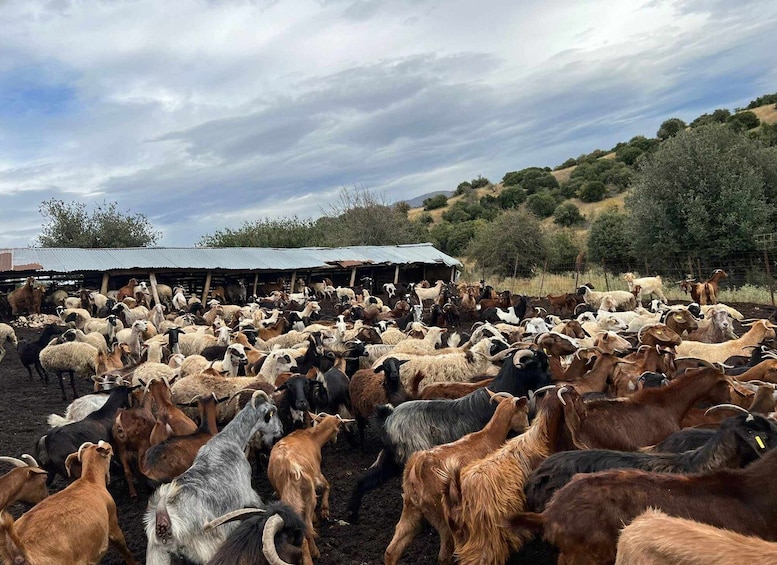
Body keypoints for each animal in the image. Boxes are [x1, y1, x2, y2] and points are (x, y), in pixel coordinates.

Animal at [346, 348, 552, 520]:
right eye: (538, 364)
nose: (550, 381)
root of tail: (387, 419)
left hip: (390, 459)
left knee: (363, 480)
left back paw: (352, 515)